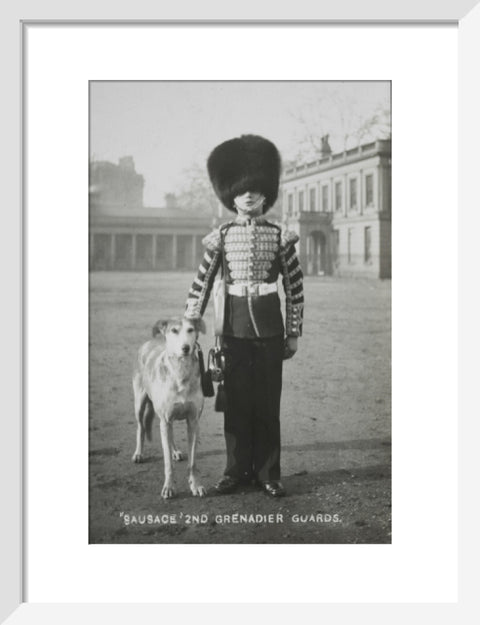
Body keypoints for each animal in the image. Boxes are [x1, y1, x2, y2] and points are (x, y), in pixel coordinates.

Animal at [131, 316, 206, 498]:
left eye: (191, 330)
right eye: (174, 331)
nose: (185, 348)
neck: (181, 372)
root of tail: (150, 342)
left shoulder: (193, 422)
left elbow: (193, 462)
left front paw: (196, 485)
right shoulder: (165, 420)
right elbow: (168, 464)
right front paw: (168, 487)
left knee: (169, 436)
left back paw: (175, 451)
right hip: (140, 403)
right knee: (141, 427)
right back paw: (138, 453)